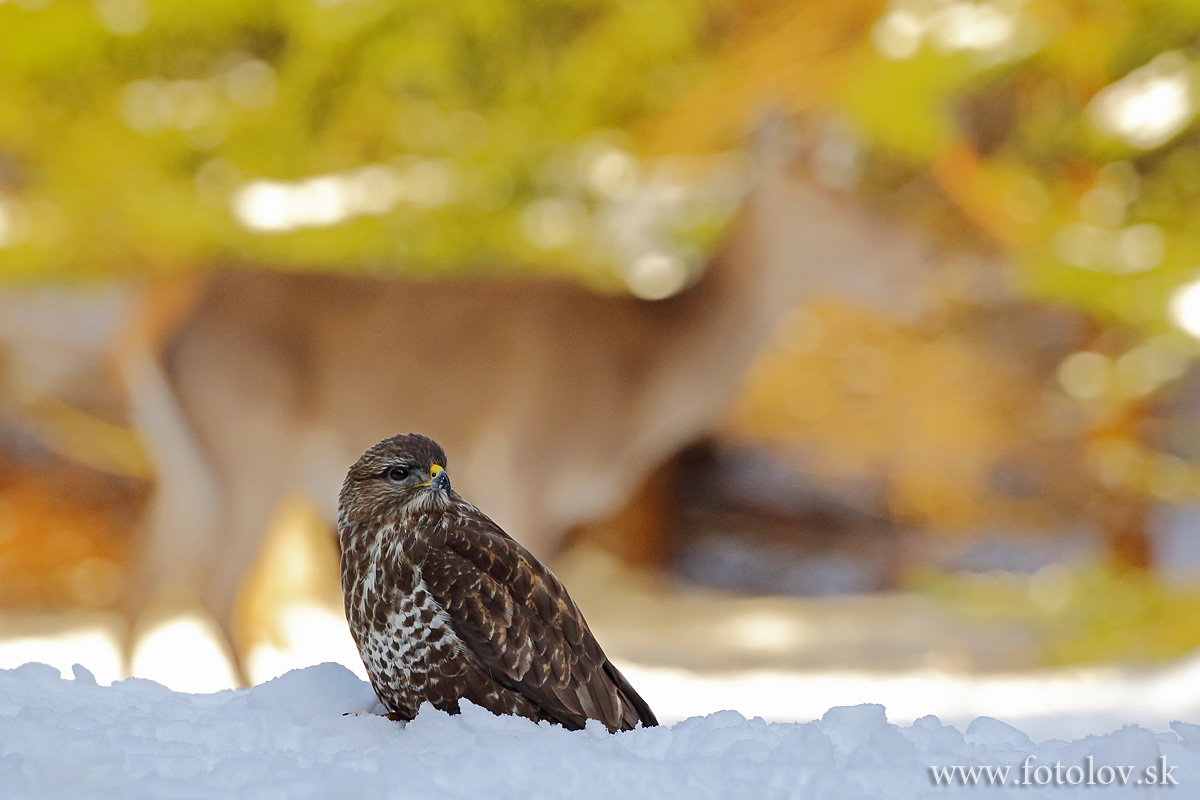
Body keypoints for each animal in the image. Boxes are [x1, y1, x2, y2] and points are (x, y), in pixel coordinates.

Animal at [119, 117, 936, 671]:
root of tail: (151, 323)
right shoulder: (534, 469)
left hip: (189, 462)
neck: (643, 381)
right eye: (830, 206)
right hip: (250, 443)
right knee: (215, 586)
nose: (918, 264)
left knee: (145, 580)